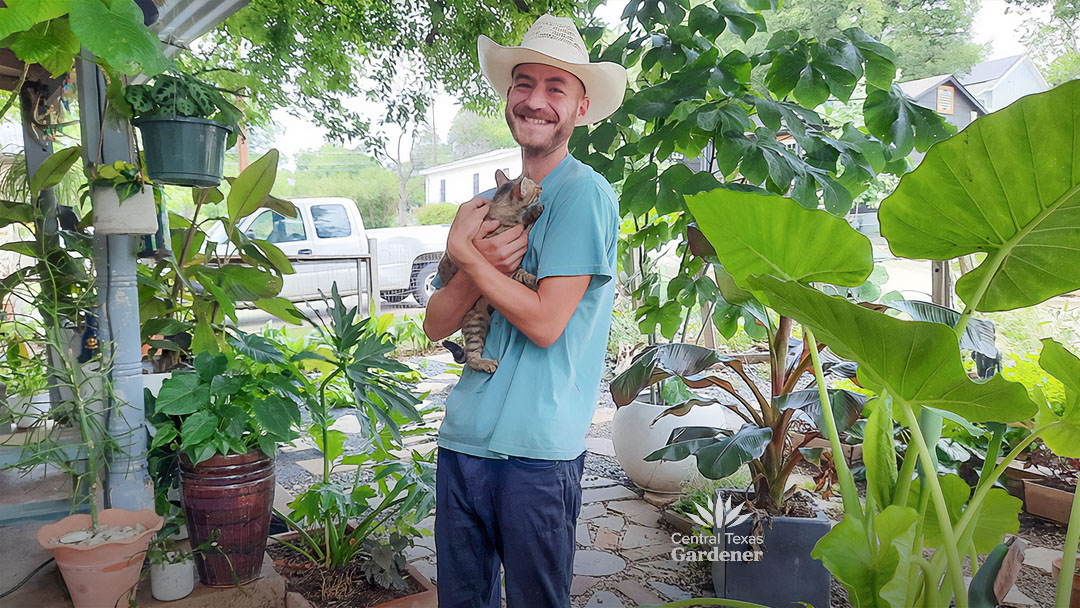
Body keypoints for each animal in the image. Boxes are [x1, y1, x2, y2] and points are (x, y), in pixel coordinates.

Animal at [436, 168, 544, 373]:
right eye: (535, 187)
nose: (542, 187)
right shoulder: (507, 266)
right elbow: (522, 269)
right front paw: (533, 280)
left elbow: (524, 221)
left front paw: (533, 213)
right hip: (474, 321)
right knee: (471, 357)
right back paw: (486, 363)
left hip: (477, 321)